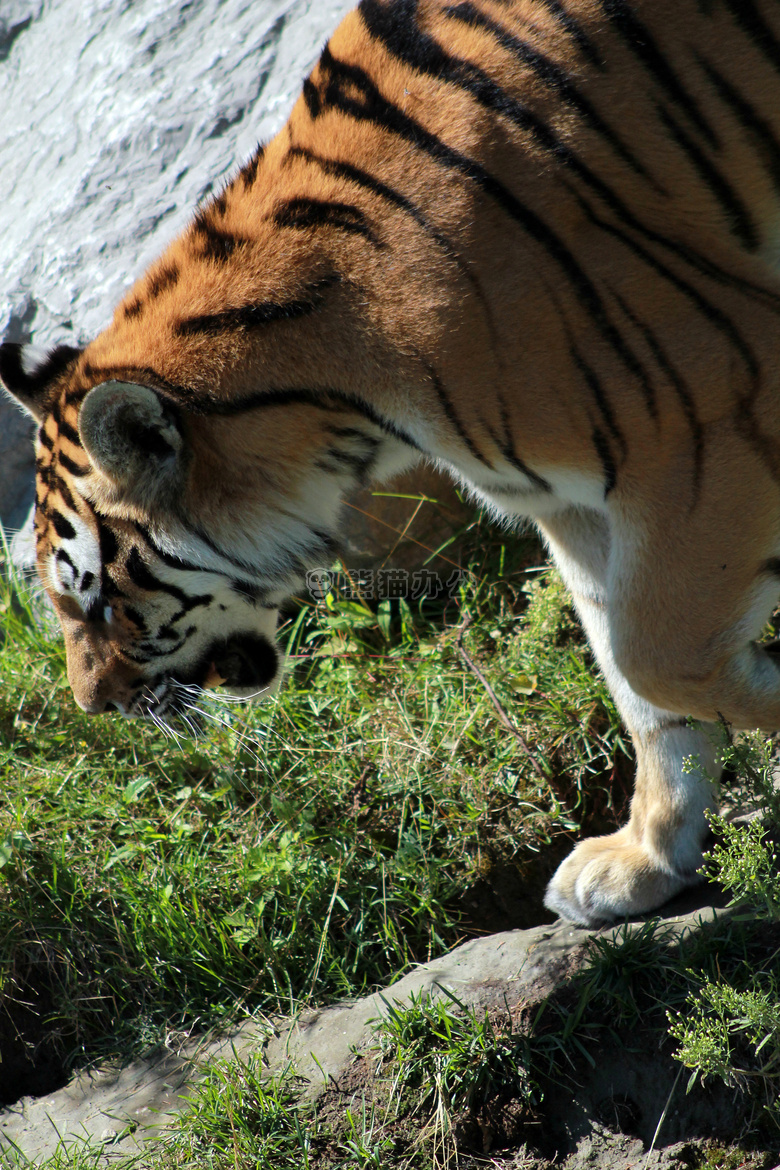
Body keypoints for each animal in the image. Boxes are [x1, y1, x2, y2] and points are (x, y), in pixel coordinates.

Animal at [4, 0, 780, 931]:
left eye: (99, 600)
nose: (94, 707)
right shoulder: (575, 502)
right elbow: (641, 686)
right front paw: (643, 860)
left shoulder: (708, 408)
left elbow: (653, 653)